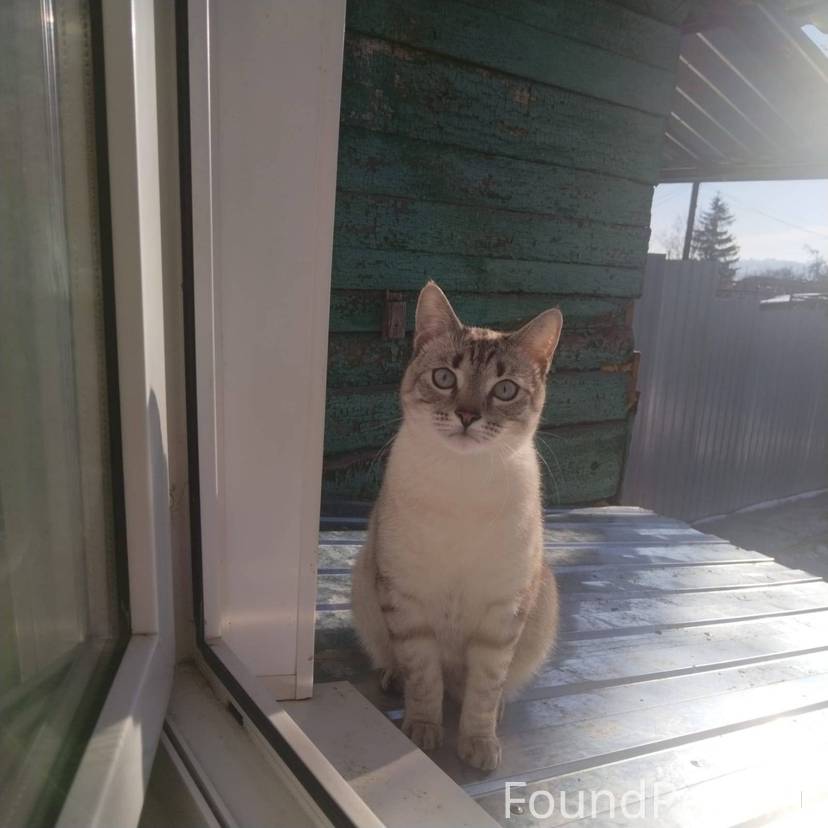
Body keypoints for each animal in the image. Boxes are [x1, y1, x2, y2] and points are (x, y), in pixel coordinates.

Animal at [350, 281, 561, 771]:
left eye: (505, 390)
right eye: (445, 378)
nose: (467, 415)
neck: (463, 482)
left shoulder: (502, 613)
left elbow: (483, 690)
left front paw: (479, 745)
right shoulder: (407, 600)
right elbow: (425, 678)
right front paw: (423, 730)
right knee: (398, 663)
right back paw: (393, 681)